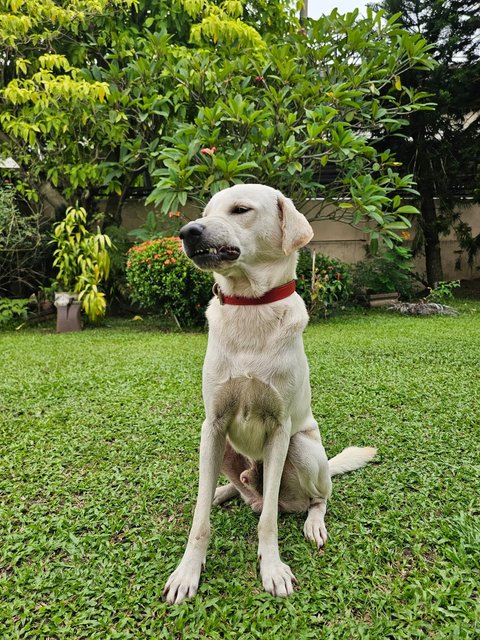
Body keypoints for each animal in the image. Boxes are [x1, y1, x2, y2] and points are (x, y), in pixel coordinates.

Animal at [163, 182, 376, 604]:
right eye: (206, 212)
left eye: (240, 210)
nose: (187, 232)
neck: (250, 304)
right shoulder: (212, 425)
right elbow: (199, 520)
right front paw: (187, 571)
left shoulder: (279, 430)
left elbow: (269, 521)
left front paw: (272, 568)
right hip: (222, 449)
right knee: (240, 493)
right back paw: (221, 491)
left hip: (303, 448)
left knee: (311, 499)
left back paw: (313, 522)